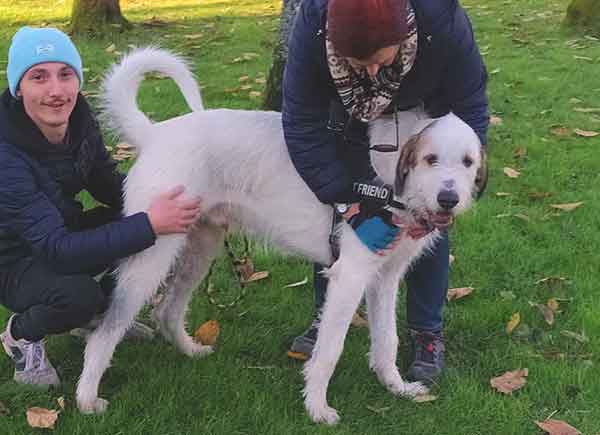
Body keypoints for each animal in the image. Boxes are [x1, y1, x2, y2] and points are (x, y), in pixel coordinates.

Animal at [76, 48, 482, 426]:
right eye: (431, 159)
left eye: (468, 162)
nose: (449, 199)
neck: (391, 180)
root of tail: (156, 133)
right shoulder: (349, 277)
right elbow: (329, 350)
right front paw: (317, 408)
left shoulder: (385, 279)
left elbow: (387, 340)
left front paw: (395, 387)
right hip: (152, 257)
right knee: (107, 330)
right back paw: (86, 399)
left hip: (200, 248)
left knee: (168, 310)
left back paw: (190, 350)